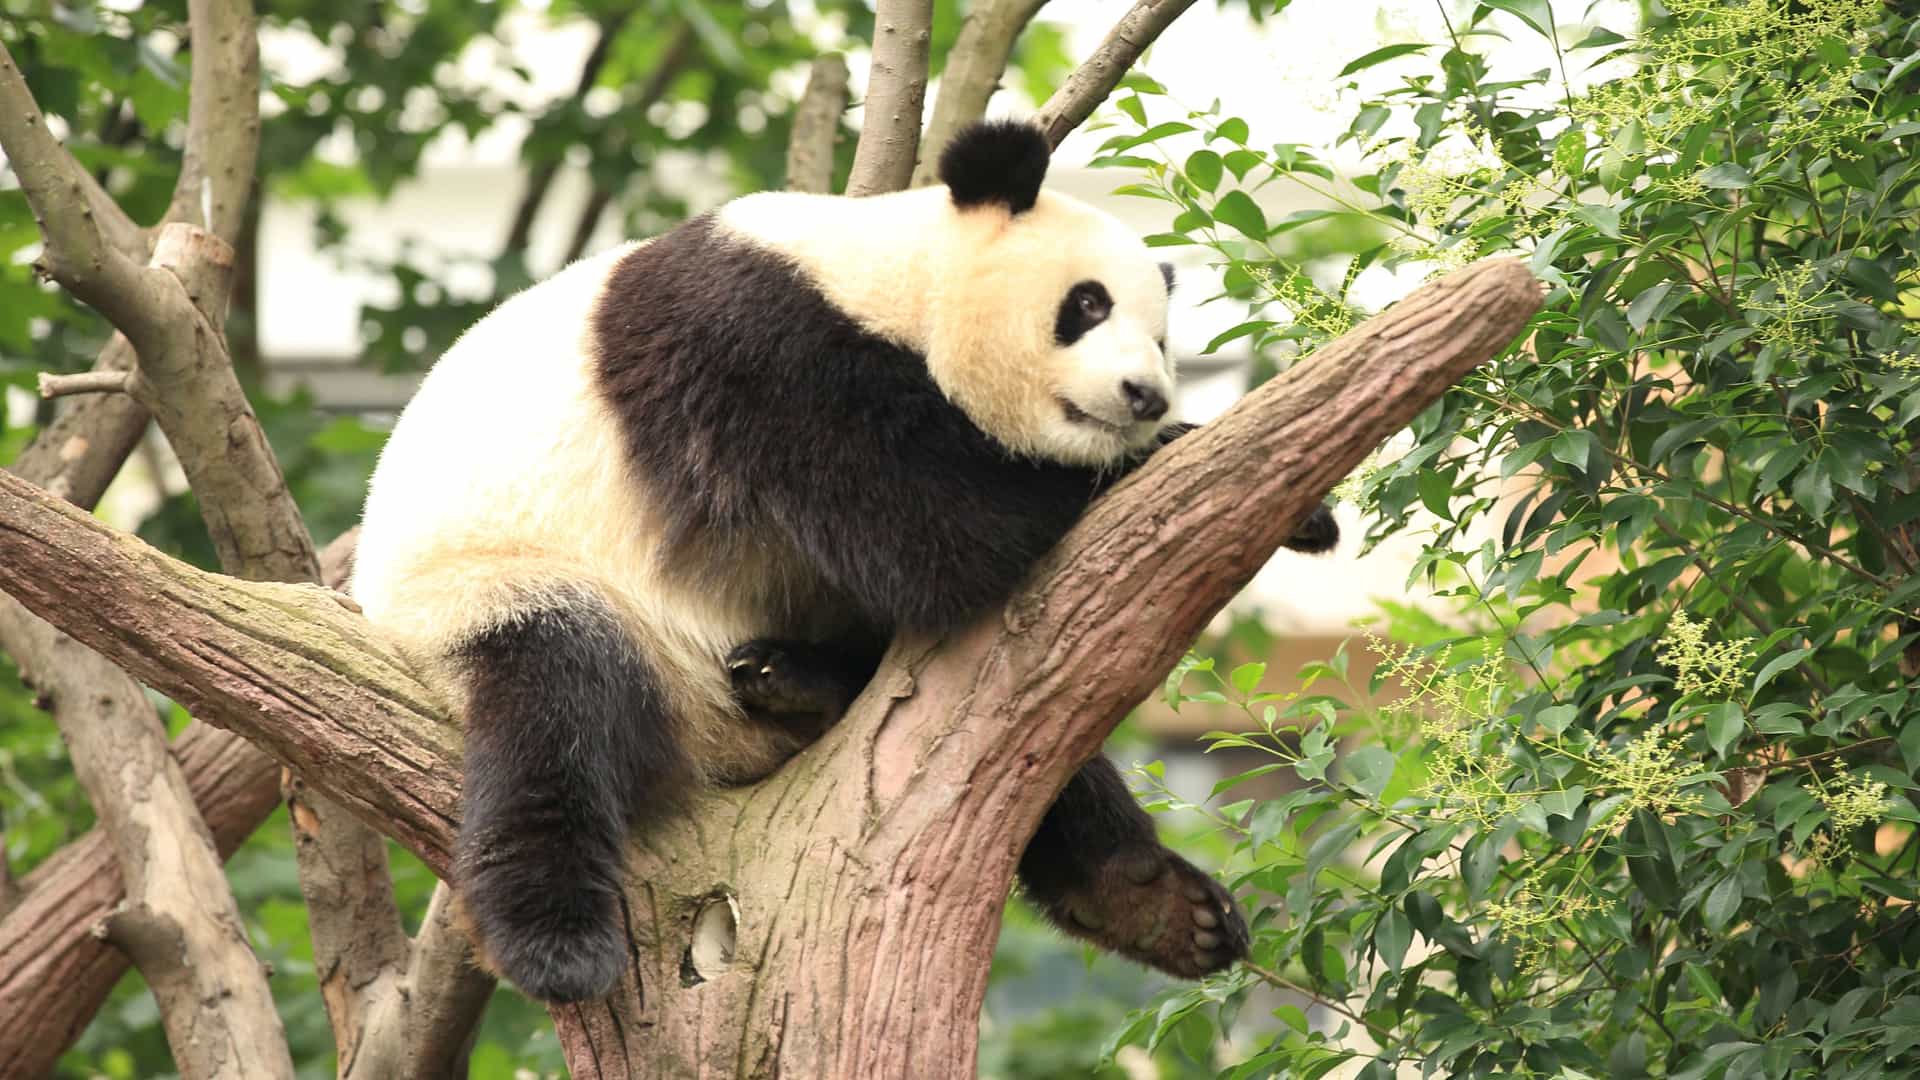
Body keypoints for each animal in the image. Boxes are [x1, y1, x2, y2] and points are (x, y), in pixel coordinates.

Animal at [350, 119, 1339, 1004]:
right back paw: (557, 944)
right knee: (556, 709)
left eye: (1164, 337)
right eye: (1088, 305)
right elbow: (938, 536)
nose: (1145, 395)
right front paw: (1176, 453)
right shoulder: (758, 352)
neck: (885, 277)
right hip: (498, 585)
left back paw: (1156, 903)